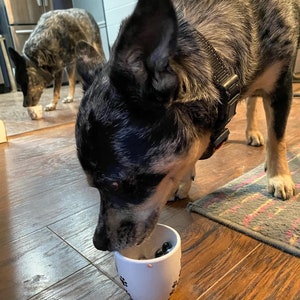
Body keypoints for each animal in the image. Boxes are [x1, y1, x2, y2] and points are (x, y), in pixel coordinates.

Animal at [75, 0, 300, 251]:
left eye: (115, 185)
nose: (98, 242)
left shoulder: (282, 86)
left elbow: (277, 137)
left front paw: (279, 176)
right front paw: (183, 179)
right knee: (252, 101)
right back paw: (252, 132)